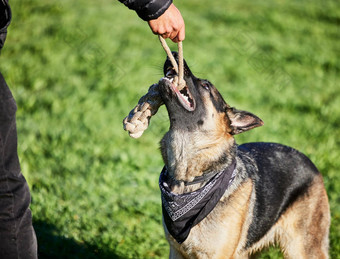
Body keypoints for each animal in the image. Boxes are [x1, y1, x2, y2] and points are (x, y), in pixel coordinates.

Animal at [158, 53, 330, 258]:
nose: (175, 54)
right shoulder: (176, 251)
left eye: (206, 86)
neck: (189, 180)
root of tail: (309, 162)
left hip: (301, 249)